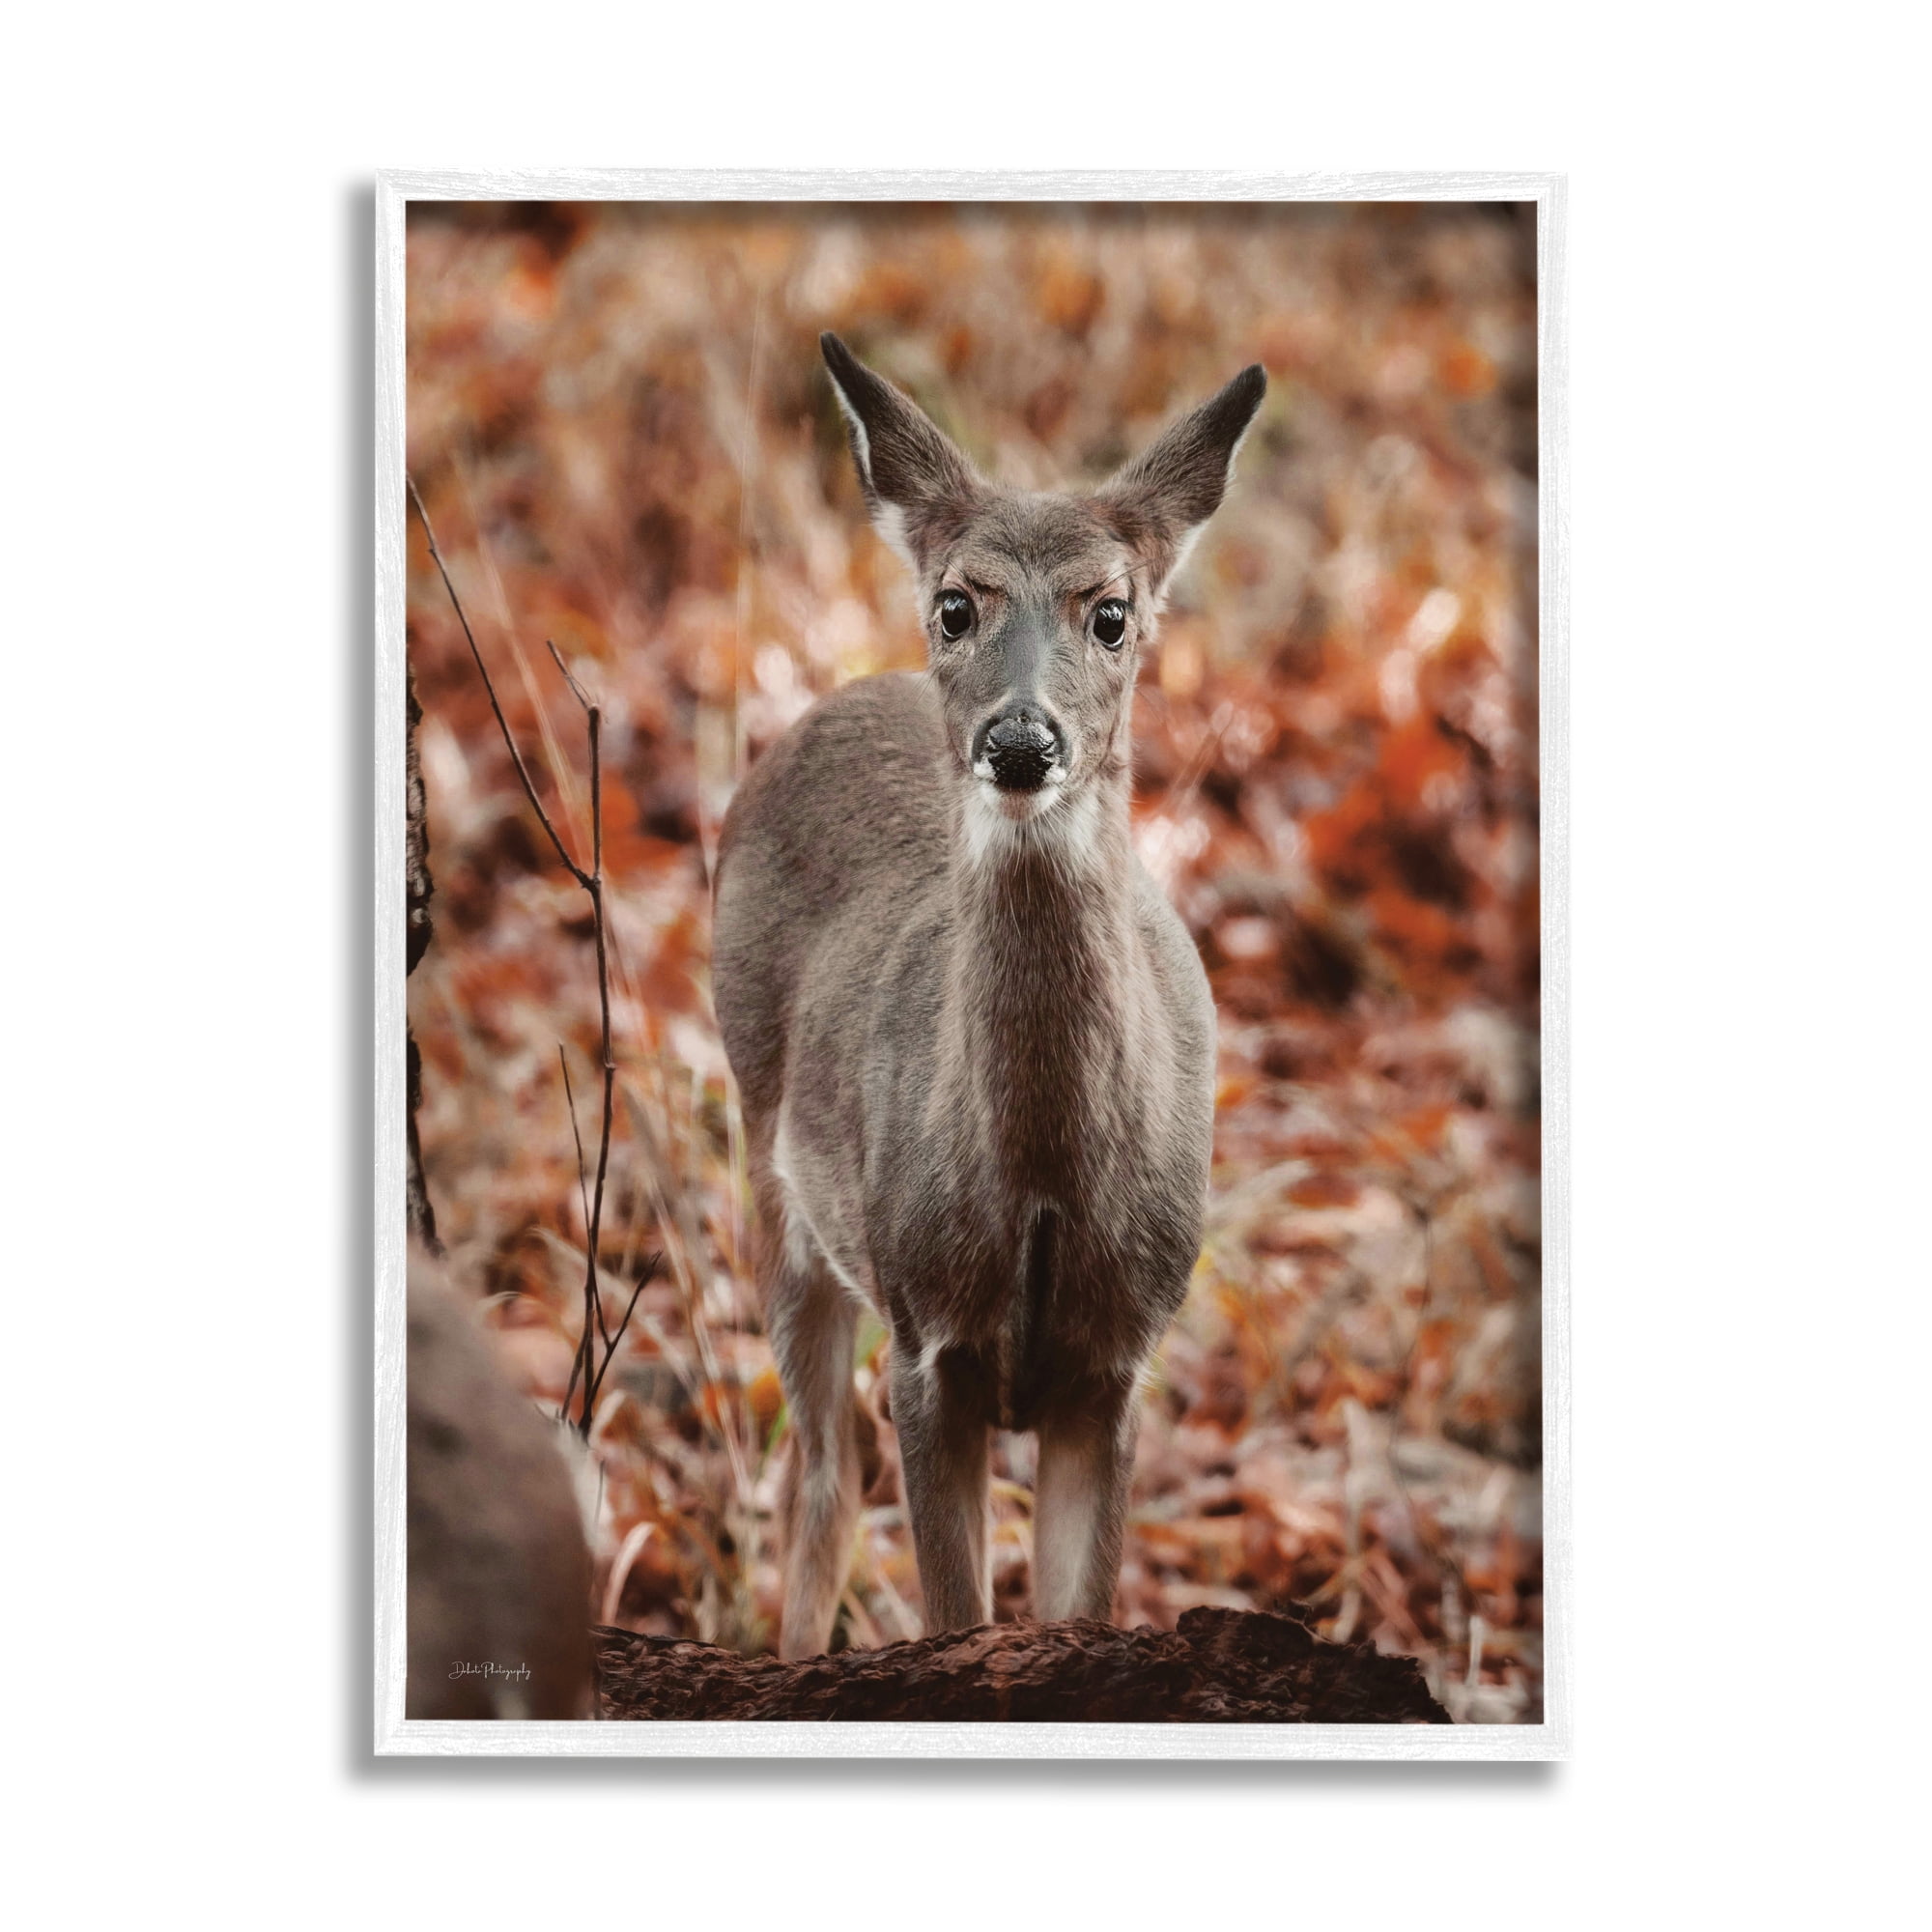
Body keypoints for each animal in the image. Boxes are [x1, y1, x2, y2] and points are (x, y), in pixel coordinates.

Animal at [712, 333, 1266, 1659]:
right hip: (776, 1177)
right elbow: (953, 1611)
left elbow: (1078, 1606)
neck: (1041, 1181)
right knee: (819, 1474)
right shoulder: (928, 1338)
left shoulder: (1117, 1363)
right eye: (956, 604)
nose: (1020, 740)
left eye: (1111, 612)